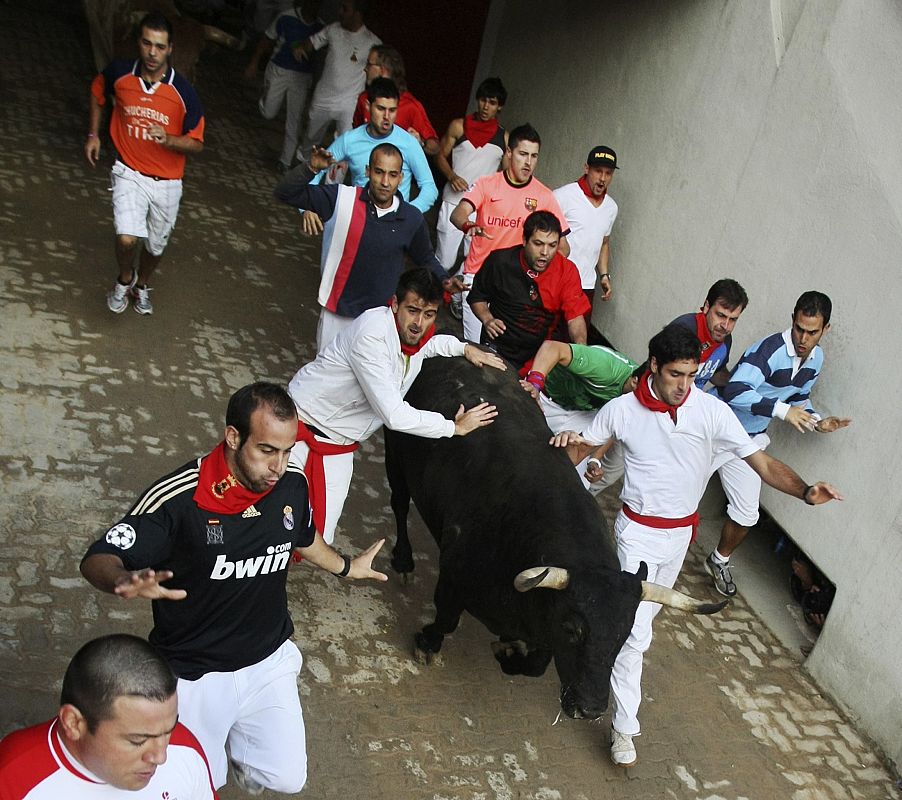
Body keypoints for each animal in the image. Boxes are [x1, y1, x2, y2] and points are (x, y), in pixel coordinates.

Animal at [386, 354, 728, 720]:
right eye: (572, 629)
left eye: (624, 635)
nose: (591, 708)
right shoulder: (454, 571)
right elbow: (447, 618)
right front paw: (427, 644)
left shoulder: (541, 626)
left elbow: (536, 665)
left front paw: (509, 653)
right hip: (395, 449)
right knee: (399, 503)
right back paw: (403, 561)